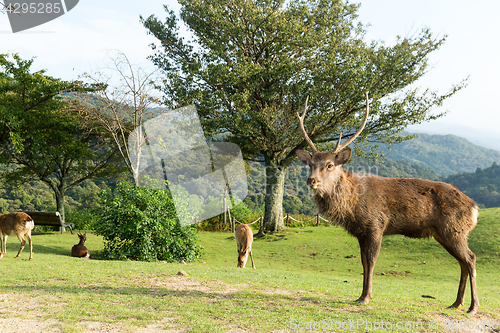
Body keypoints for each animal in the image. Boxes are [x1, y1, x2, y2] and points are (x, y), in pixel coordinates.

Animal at [294, 92, 478, 312]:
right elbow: (363, 262)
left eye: (330, 165)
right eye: (310, 164)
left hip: (454, 229)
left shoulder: (376, 225)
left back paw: (473, 306)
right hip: (445, 233)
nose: (311, 180)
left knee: (471, 259)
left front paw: (366, 297)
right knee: (462, 262)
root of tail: (475, 208)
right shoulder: (361, 232)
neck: (353, 205)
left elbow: (371, 261)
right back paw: (456, 303)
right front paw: (360, 295)